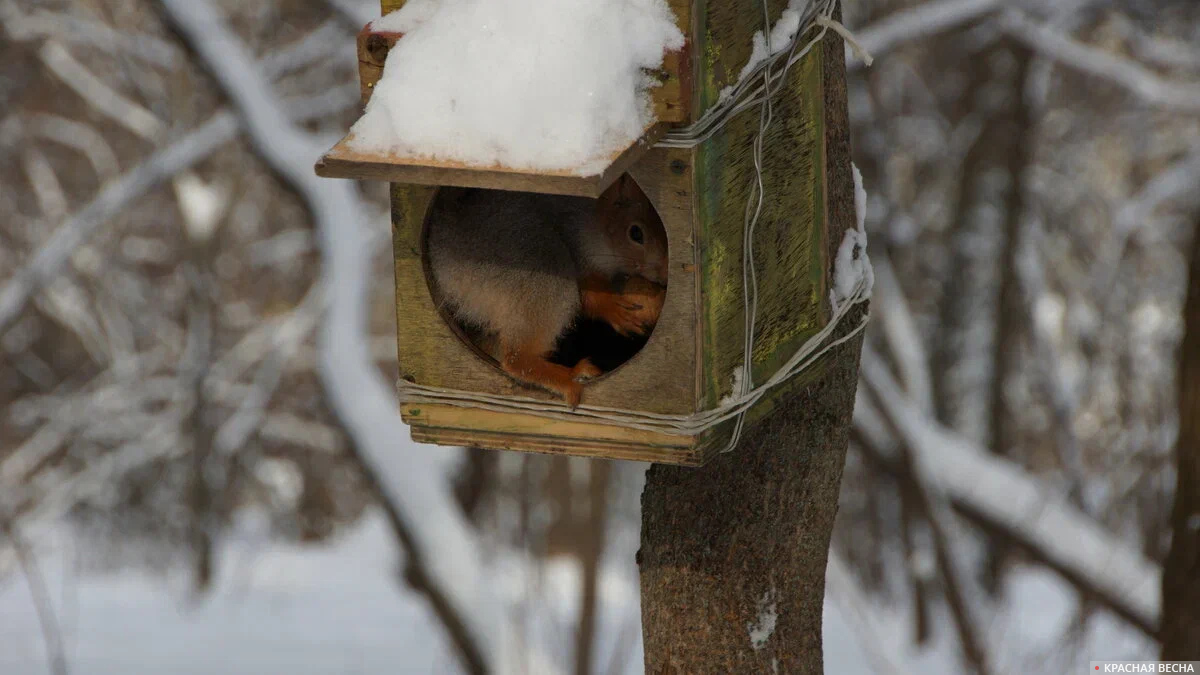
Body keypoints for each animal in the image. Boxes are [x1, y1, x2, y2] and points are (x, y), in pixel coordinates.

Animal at [424, 174, 672, 403]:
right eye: (635, 233)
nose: (664, 274)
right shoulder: (578, 242)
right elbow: (590, 297)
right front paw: (615, 311)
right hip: (542, 266)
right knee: (516, 360)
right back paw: (569, 377)